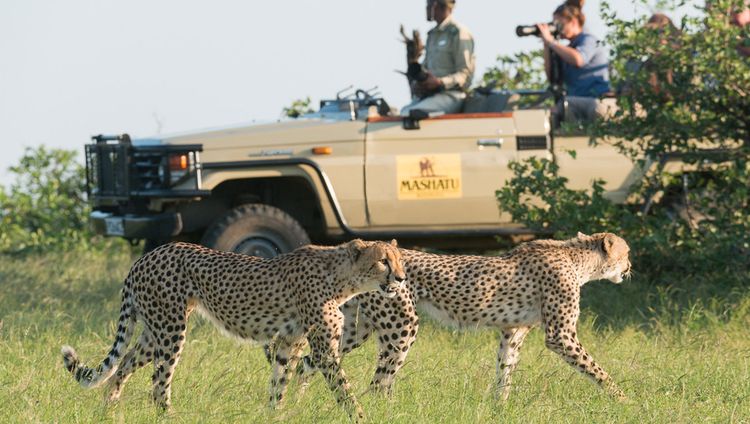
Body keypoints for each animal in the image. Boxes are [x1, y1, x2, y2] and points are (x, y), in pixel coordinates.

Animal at [62, 238, 408, 420]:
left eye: (400, 260)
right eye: (383, 261)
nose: (401, 278)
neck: (342, 278)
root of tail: (146, 256)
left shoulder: (289, 343)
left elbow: (280, 383)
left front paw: (274, 415)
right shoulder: (323, 351)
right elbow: (345, 390)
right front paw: (362, 417)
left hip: (154, 331)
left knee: (123, 365)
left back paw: (109, 408)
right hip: (171, 330)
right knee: (158, 382)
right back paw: (169, 416)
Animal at [296, 232, 632, 400]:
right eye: (626, 253)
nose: (629, 267)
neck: (577, 260)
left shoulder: (513, 331)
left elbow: (504, 372)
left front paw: (500, 408)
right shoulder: (560, 336)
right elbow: (598, 371)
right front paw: (624, 400)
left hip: (358, 328)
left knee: (311, 361)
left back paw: (294, 405)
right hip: (401, 325)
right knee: (379, 383)